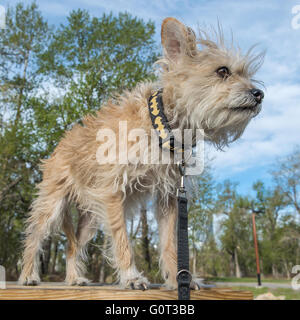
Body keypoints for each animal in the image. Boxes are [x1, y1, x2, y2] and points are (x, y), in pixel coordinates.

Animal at [18, 17, 264, 290]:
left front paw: (178, 278)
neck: (163, 127)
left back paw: (74, 279)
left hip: (90, 219)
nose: (259, 94)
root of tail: (60, 146)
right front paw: (131, 277)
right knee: (35, 236)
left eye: (246, 75)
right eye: (222, 71)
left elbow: (169, 243)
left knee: (73, 248)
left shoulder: (168, 196)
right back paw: (28, 275)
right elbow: (122, 239)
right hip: (53, 206)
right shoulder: (112, 192)